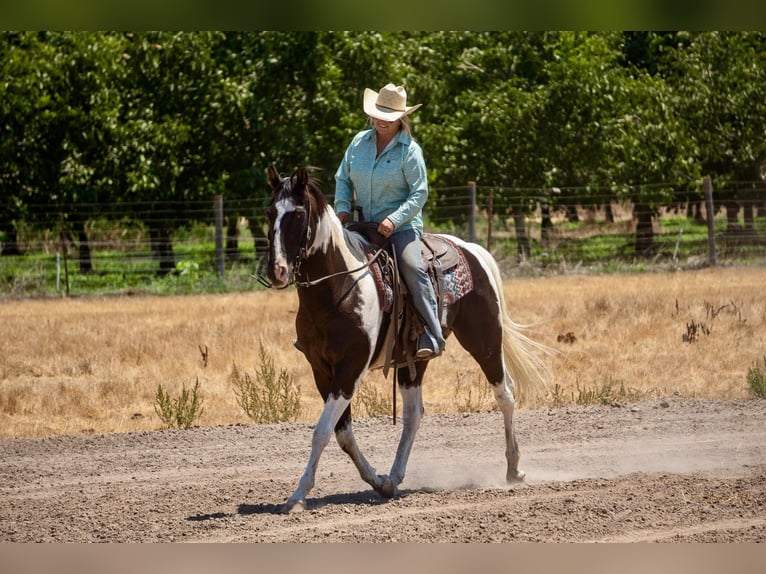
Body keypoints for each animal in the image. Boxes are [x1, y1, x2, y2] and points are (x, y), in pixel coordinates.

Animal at [264, 165, 548, 514]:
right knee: (413, 414)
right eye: (270, 212)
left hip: (485, 340)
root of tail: (472, 249)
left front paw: (298, 495)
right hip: (414, 359)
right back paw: (396, 476)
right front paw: (379, 482)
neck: (337, 289)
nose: (276, 270)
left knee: (504, 394)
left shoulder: (351, 367)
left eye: (299, 214)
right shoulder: (322, 369)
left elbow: (322, 431)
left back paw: (513, 469)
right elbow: (342, 433)